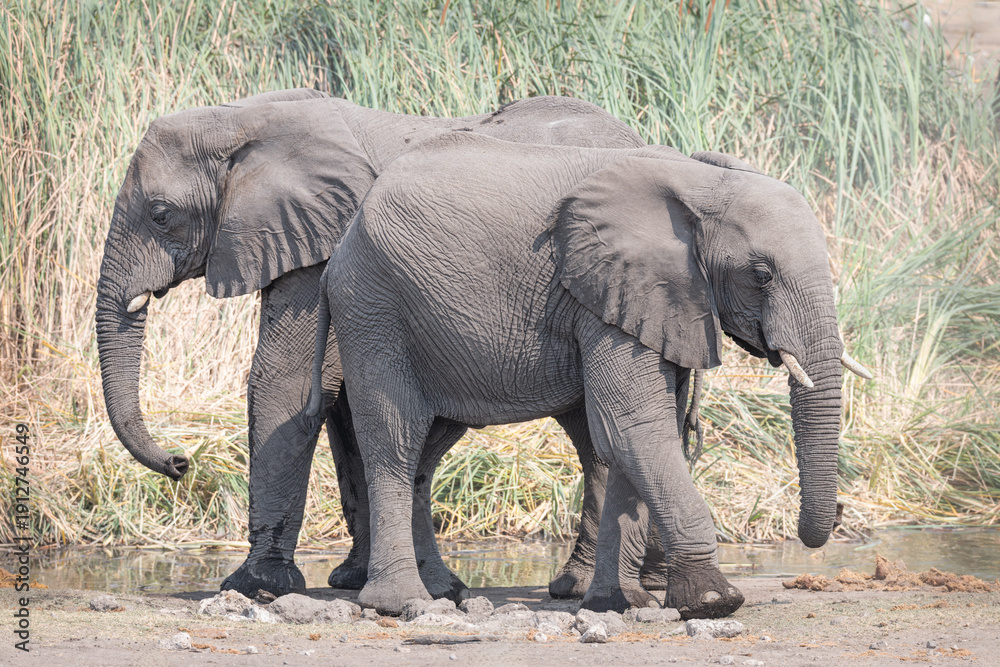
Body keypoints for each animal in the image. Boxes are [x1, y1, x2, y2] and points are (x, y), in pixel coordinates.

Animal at [95, 88, 693, 601]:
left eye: (161, 214)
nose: (180, 462)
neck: (245, 117)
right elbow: (339, 403)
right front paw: (350, 579)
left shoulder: (327, 234)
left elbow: (286, 380)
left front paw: (254, 586)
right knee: (592, 430)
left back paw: (609, 586)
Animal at [309, 131, 872, 618]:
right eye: (761, 275)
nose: (841, 515)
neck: (701, 183)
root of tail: (347, 234)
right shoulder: (607, 291)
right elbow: (635, 426)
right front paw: (712, 602)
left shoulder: (650, 301)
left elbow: (633, 436)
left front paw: (618, 603)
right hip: (374, 305)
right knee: (395, 439)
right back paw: (402, 602)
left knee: (428, 449)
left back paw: (444, 591)